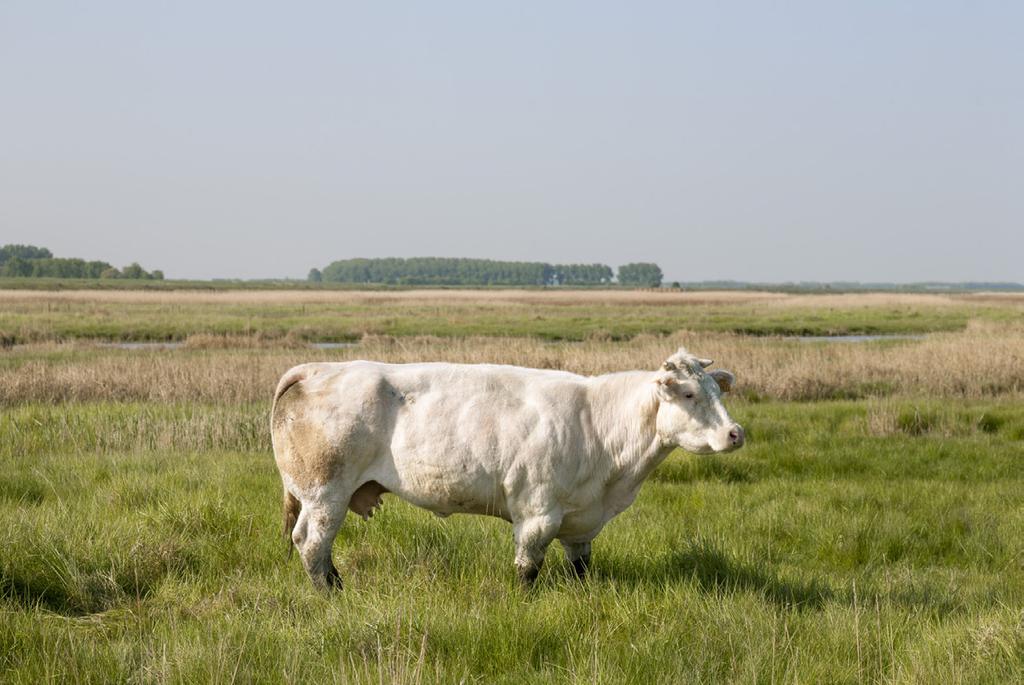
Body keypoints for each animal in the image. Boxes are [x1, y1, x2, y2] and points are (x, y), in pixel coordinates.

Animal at [268, 348, 741, 589]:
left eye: (717, 390)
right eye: (687, 395)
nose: (735, 433)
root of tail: (320, 367)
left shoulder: (581, 521)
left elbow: (581, 568)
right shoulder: (536, 511)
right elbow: (528, 567)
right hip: (325, 492)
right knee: (311, 543)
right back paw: (333, 592)